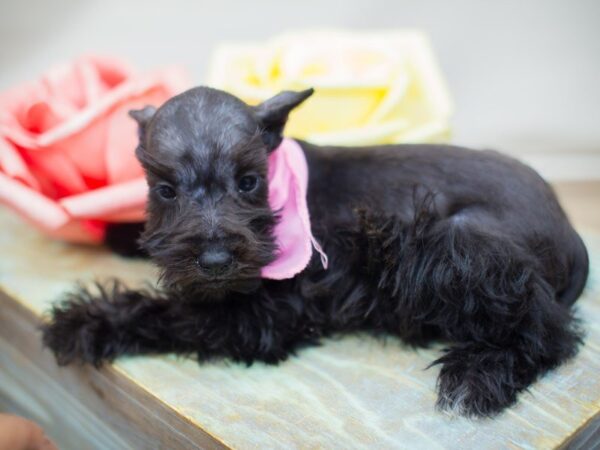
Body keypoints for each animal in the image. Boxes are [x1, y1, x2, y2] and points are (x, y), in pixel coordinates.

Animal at [44, 85, 588, 418]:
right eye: (164, 190)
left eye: (249, 181)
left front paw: (84, 321)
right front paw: (119, 234)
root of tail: (570, 233)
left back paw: (477, 375)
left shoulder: (260, 317)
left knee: (549, 329)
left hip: (455, 242)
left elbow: (169, 312)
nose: (216, 263)